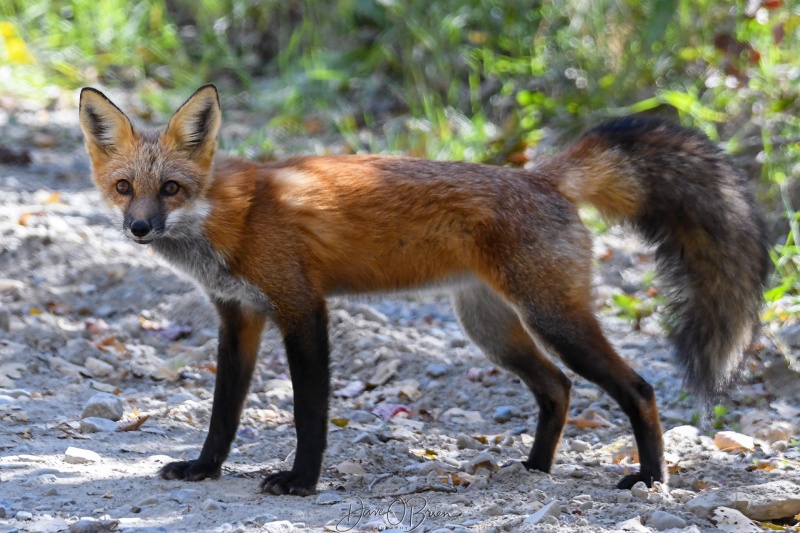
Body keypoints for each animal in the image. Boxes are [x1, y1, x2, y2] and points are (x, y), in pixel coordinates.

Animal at [79, 83, 768, 494]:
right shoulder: (238, 316)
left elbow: (308, 413)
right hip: (493, 330)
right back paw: (534, 471)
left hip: (555, 320)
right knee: (557, 389)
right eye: (124, 188)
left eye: (170, 189)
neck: (231, 218)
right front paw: (205, 468)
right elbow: (223, 411)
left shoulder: (303, 309)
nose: (139, 227)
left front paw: (301, 481)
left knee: (638, 388)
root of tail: (541, 176)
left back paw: (650, 479)